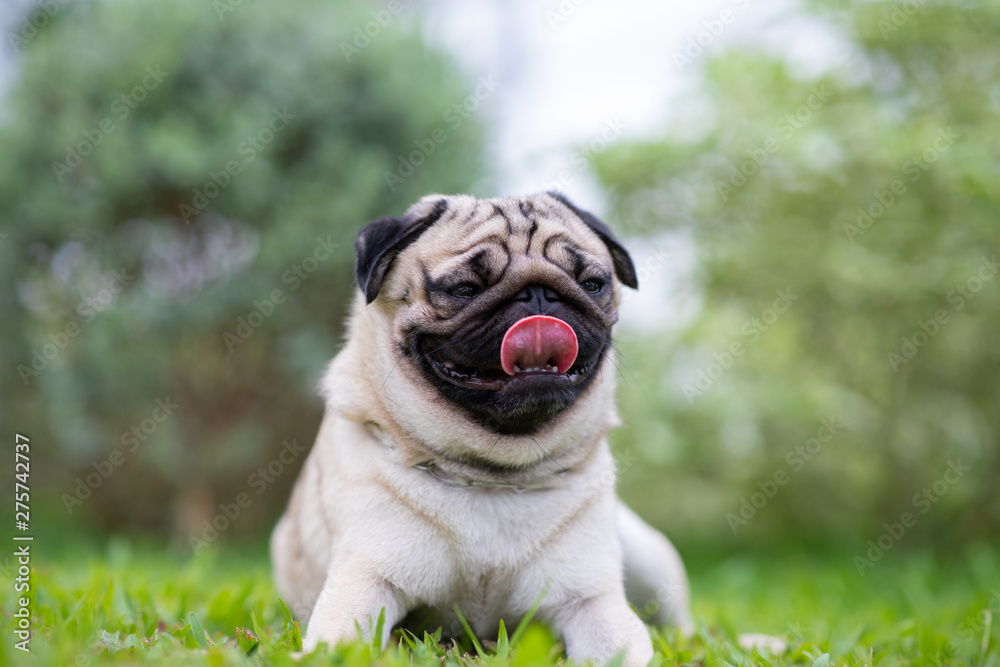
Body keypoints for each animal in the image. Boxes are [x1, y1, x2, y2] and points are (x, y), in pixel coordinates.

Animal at [274, 192, 696, 667]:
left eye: (592, 284)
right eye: (464, 289)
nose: (538, 294)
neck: (493, 474)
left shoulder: (591, 600)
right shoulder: (365, 579)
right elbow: (340, 645)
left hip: (649, 560)